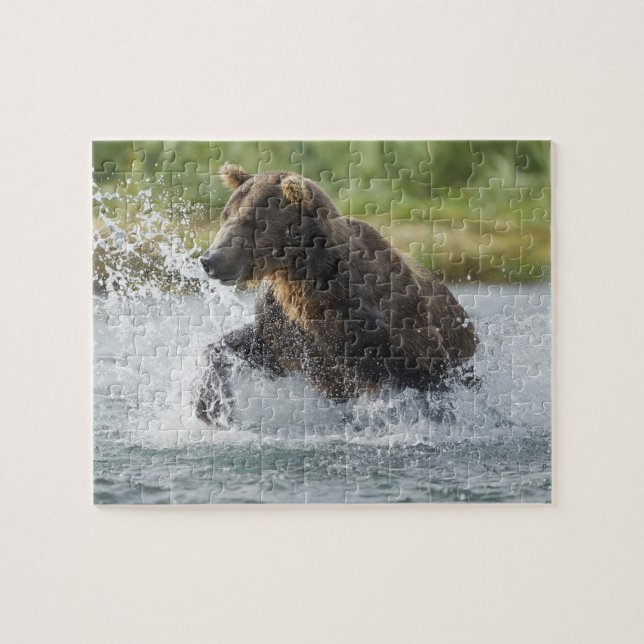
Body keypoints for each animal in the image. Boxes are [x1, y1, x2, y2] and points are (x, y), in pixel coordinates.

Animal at [195, 162, 478, 424]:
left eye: (252, 222)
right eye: (225, 215)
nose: (210, 259)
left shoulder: (384, 323)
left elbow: (424, 374)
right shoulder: (287, 325)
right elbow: (251, 346)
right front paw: (211, 405)